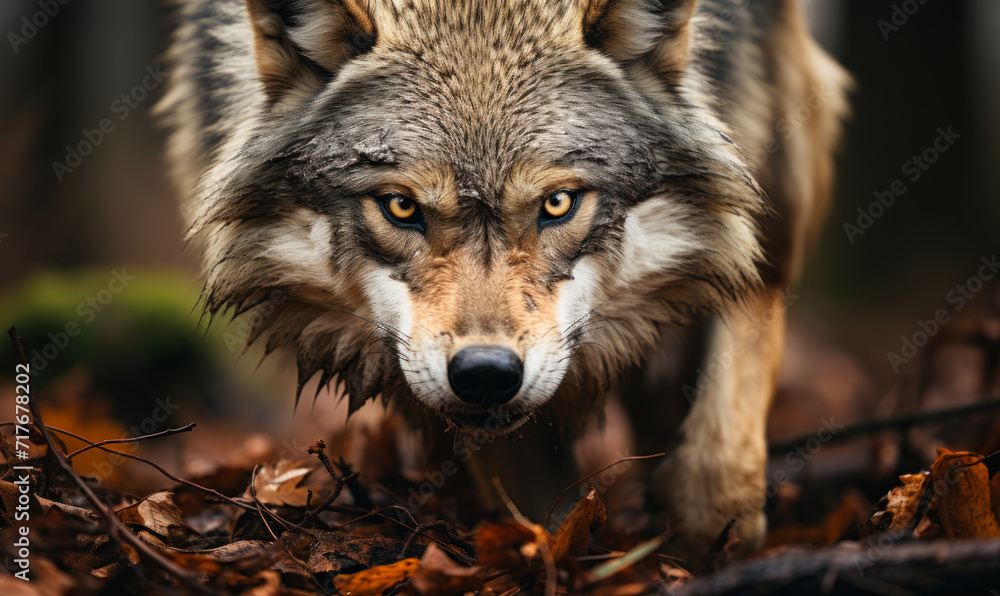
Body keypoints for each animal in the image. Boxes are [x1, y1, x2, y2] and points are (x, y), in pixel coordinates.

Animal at [158, 0, 849, 559]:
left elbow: (723, 440)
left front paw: (708, 539)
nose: (486, 373)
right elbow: (535, 508)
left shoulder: (756, 209)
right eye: (401, 207)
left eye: (558, 204)